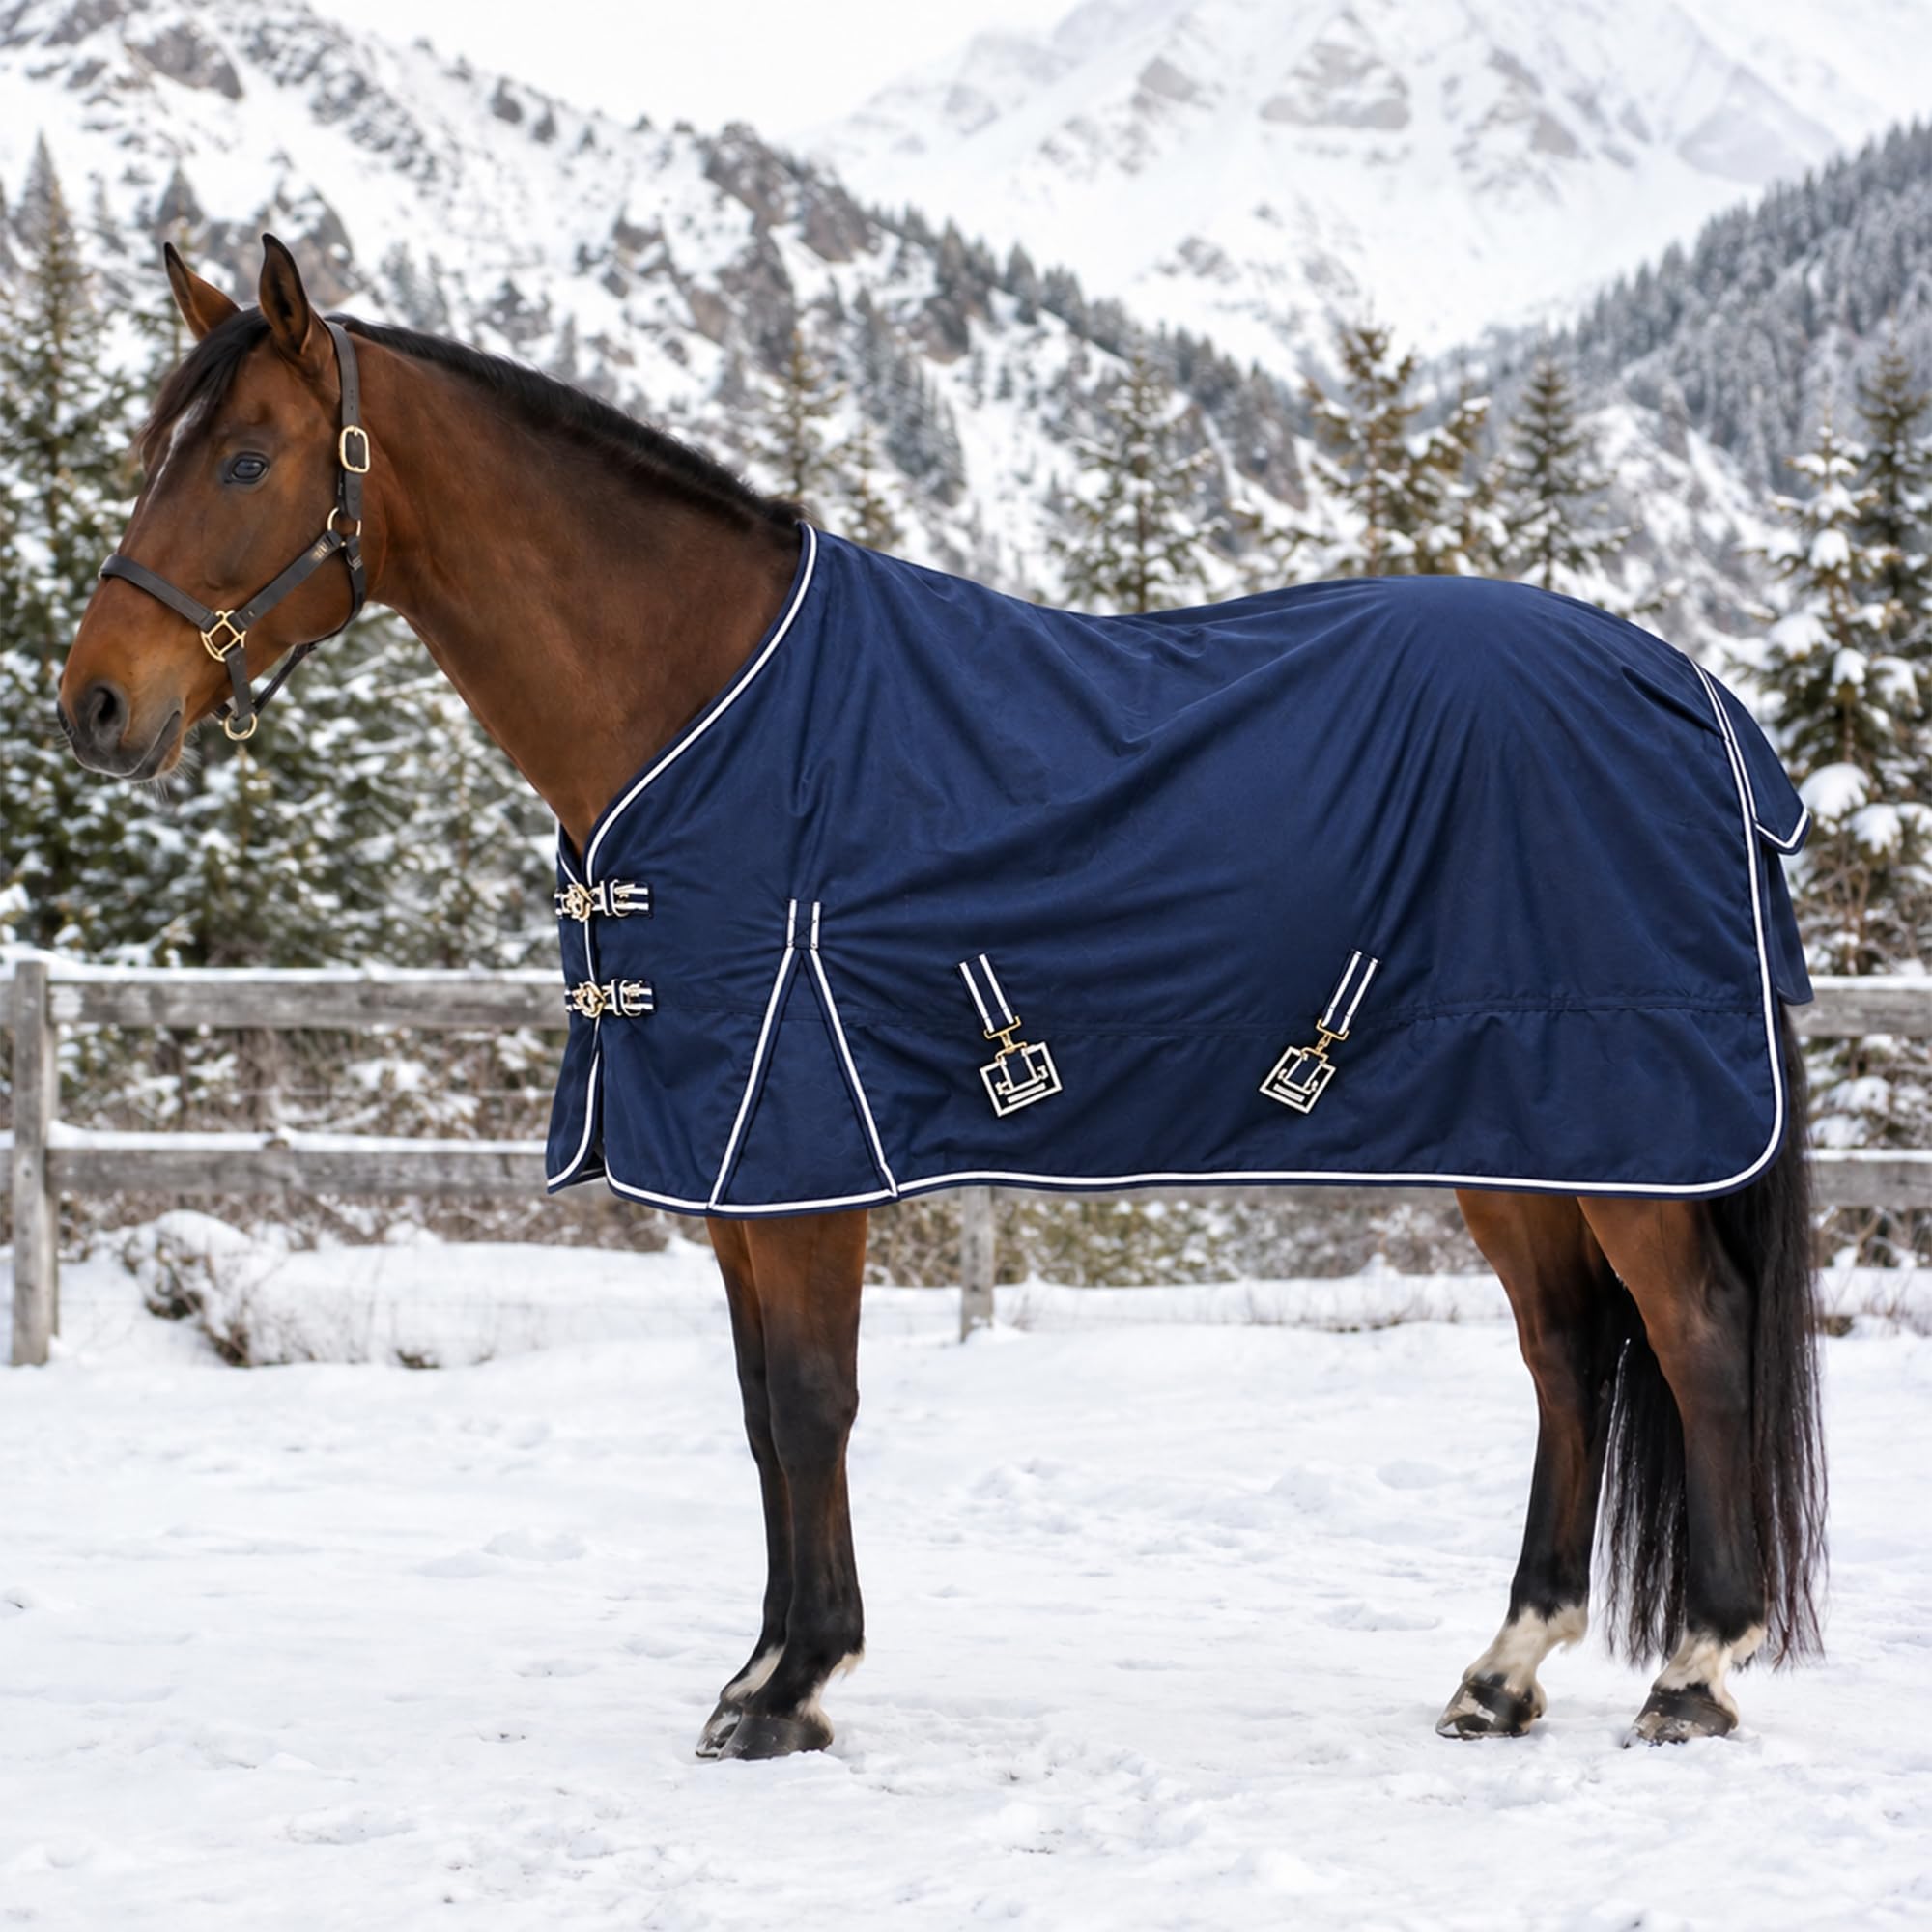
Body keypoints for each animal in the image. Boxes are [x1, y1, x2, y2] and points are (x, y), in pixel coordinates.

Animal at [58, 237, 1825, 1760]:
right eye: (153, 445)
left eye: (243, 462)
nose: (94, 705)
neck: (705, 704)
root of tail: (1689, 693)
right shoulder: (737, 1171)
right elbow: (765, 1414)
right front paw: (769, 1667)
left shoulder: (796, 1143)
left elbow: (811, 1403)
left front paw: (792, 1687)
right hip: (1520, 1122)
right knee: (1570, 1356)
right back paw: (1504, 1671)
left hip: (1623, 1117)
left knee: (1695, 1336)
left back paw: (1695, 1669)